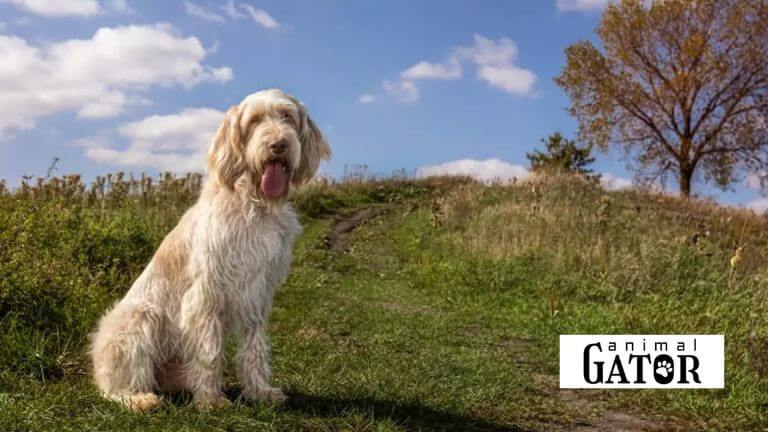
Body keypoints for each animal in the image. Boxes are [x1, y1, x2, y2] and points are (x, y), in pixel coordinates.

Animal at [89, 88, 330, 412]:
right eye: (255, 120)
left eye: (287, 117)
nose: (278, 144)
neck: (254, 203)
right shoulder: (205, 295)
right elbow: (209, 351)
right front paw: (211, 400)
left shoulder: (257, 293)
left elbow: (254, 350)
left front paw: (259, 392)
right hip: (140, 317)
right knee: (112, 388)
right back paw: (140, 398)